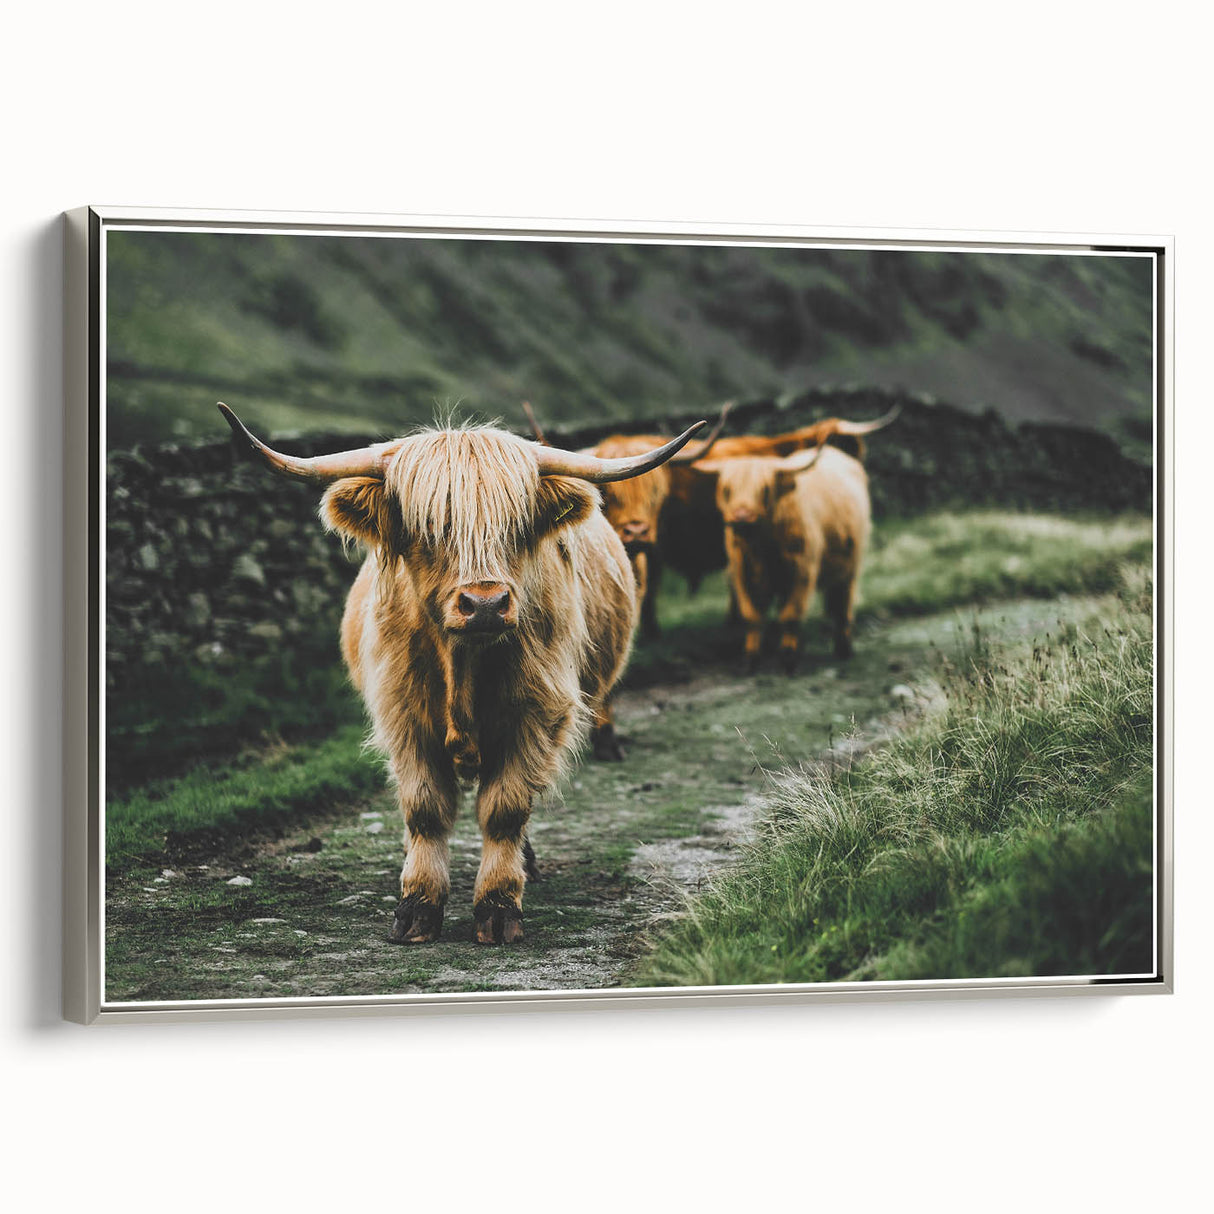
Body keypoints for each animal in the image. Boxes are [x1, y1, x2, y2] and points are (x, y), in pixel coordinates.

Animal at [218, 403, 705, 945]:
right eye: (429, 526)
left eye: (517, 525)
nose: (486, 603)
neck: (463, 667)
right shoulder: (403, 716)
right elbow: (425, 809)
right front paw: (416, 906)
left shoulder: (536, 716)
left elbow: (505, 808)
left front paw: (497, 906)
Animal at [690, 442, 872, 673]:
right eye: (727, 489)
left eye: (765, 489)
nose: (741, 516)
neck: (762, 545)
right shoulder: (742, 572)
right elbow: (752, 616)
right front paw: (751, 659)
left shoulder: (803, 570)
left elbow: (791, 615)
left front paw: (788, 659)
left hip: (851, 564)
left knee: (843, 605)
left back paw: (843, 648)